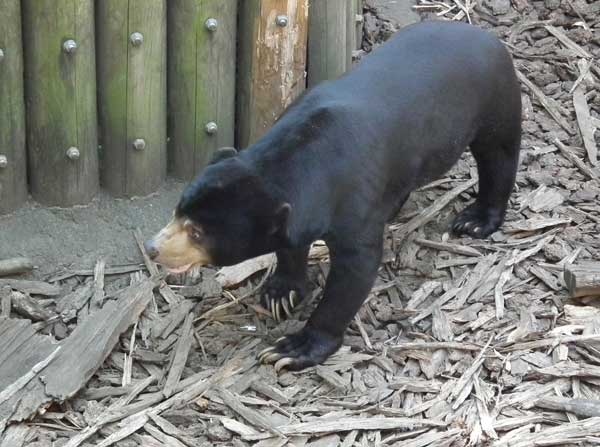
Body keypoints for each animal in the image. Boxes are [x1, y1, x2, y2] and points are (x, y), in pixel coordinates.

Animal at [144, 20, 522, 371]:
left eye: (197, 232)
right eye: (178, 210)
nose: (152, 247)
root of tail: (484, 35)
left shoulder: (355, 203)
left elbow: (354, 272)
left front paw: (292, 348)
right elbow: (290, 247)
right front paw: (281, 293)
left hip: (495, 101)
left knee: (499, 155)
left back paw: (476, 221)